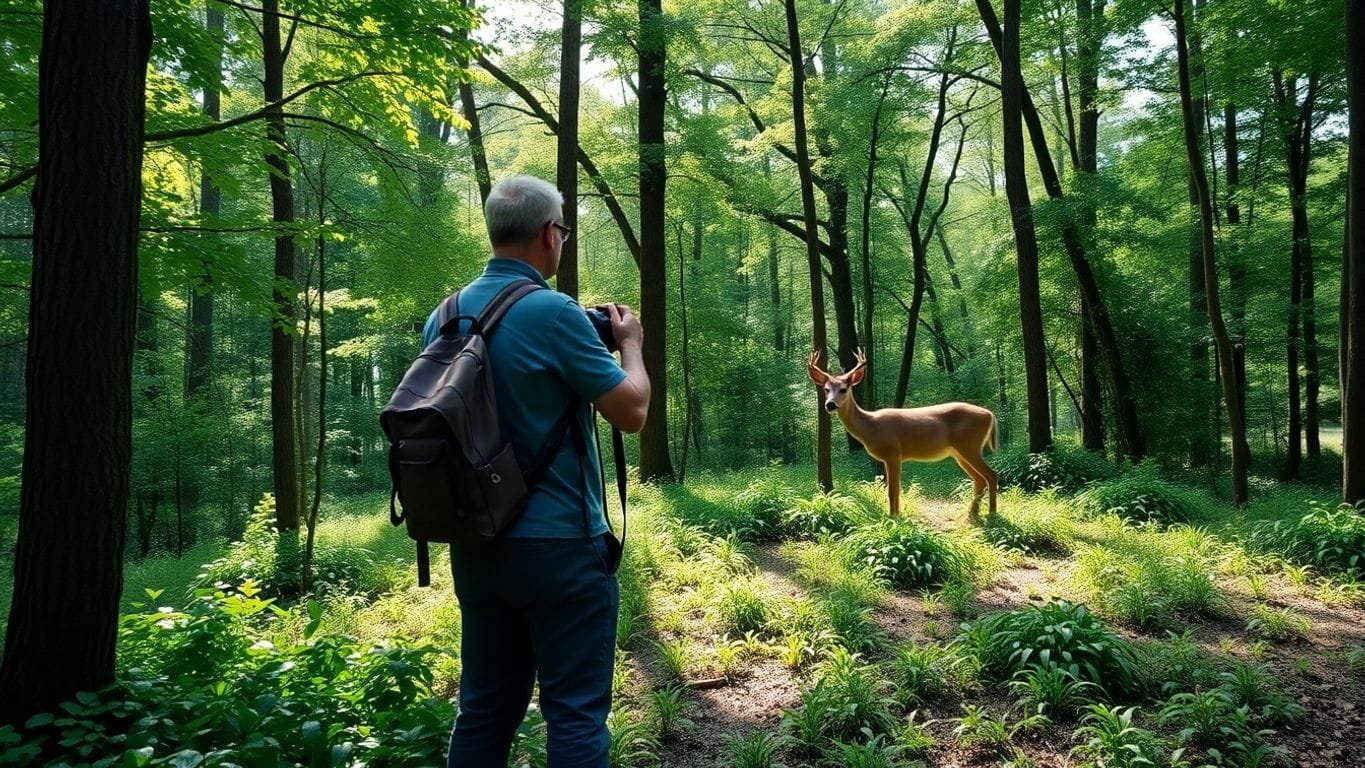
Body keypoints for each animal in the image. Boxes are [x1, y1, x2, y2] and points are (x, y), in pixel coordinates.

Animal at [802, 349, 999, 521]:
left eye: (843, 389)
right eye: (826, 389)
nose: (830, 405)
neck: (870, 426)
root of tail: (990, 414)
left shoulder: (893, 453)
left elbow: (892, 490)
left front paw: (893, 517)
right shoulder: (890, 457)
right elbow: (894, 489)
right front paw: (897, 515)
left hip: (969, 445)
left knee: (991, 474)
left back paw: (991, 514)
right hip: (959, 452)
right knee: (979, 479)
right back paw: (972, 515)